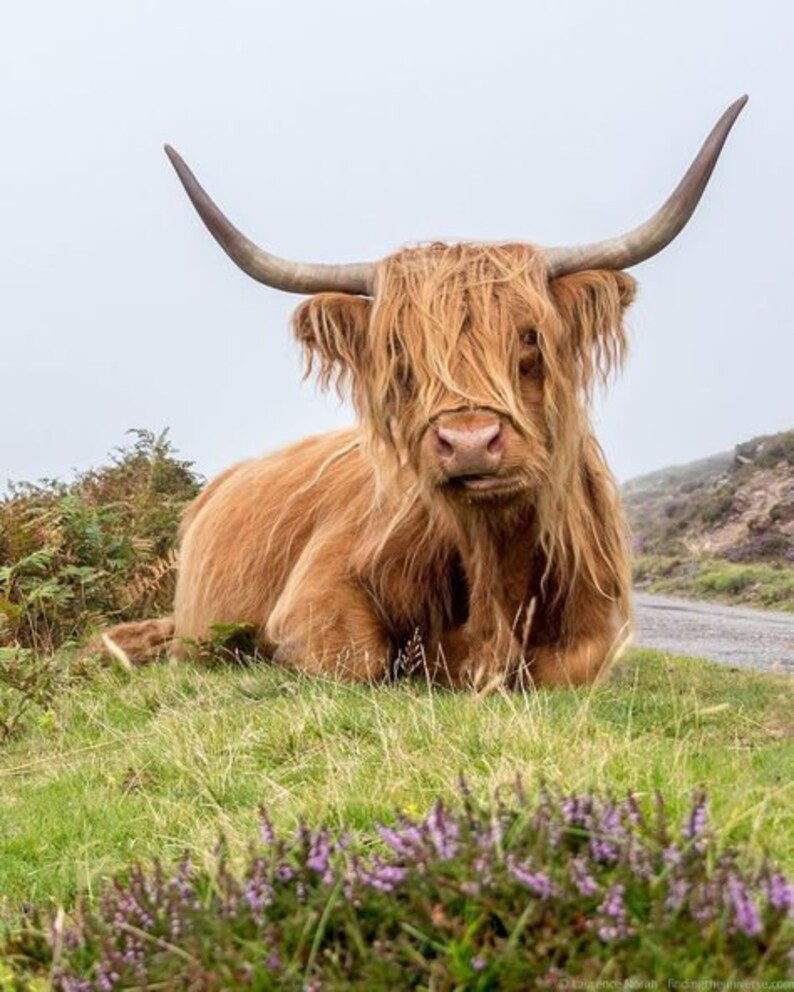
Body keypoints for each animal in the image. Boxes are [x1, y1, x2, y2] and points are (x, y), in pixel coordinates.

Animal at [104, 97, 747, 689]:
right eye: (398, 352)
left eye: (530, 336)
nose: (469, 442)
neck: (494, 573)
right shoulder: (314, 598)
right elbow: (357, 657)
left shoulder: (595, 631)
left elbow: (564, 668)